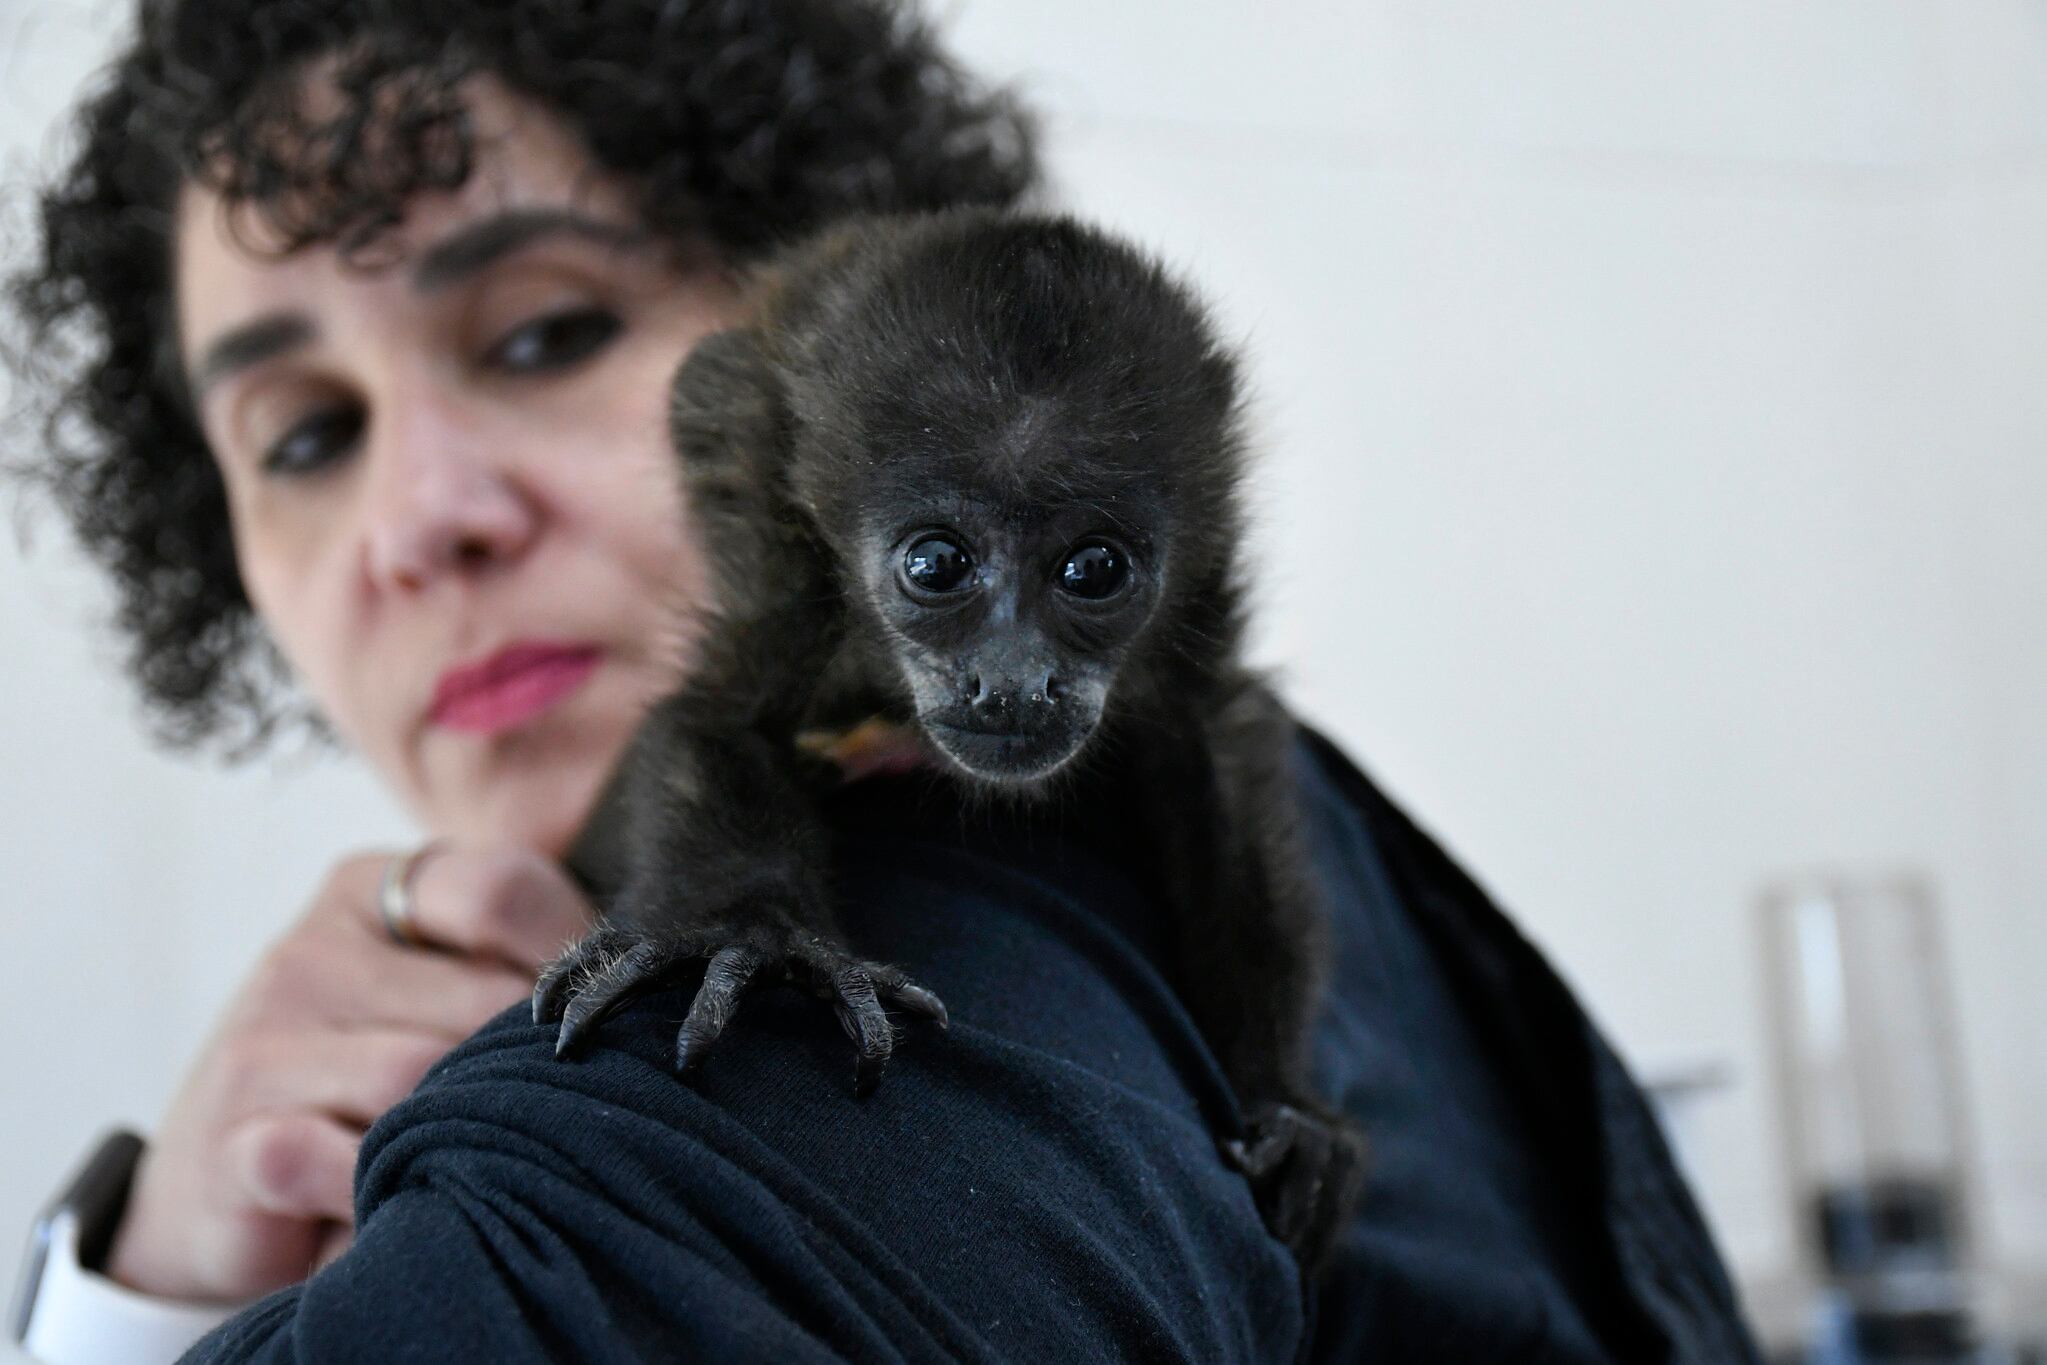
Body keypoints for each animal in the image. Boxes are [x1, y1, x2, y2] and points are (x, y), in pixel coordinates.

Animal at [532, 208, 1367, 1269]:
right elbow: (717, 718)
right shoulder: (786, 557)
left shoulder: (1202, 581)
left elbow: (1222, 735)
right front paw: (751, 935)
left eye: (1094, 569)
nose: (1011, 683)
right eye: (937, 564)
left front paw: (1289, 1102)